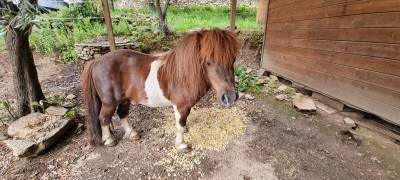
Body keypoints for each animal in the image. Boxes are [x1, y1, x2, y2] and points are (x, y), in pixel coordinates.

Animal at [79, 28, 239, 152]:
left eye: (233, 60)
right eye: (208, 62)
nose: (230, 97)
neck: (182, 74)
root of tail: (96, 61)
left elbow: (182, 123)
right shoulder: (181, 106)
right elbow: (180, 124)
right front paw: (181, 145)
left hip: (124, 99)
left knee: (122, 114)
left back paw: (132, 134)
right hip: (109, 102)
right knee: (103, 118)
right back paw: (109, 140)